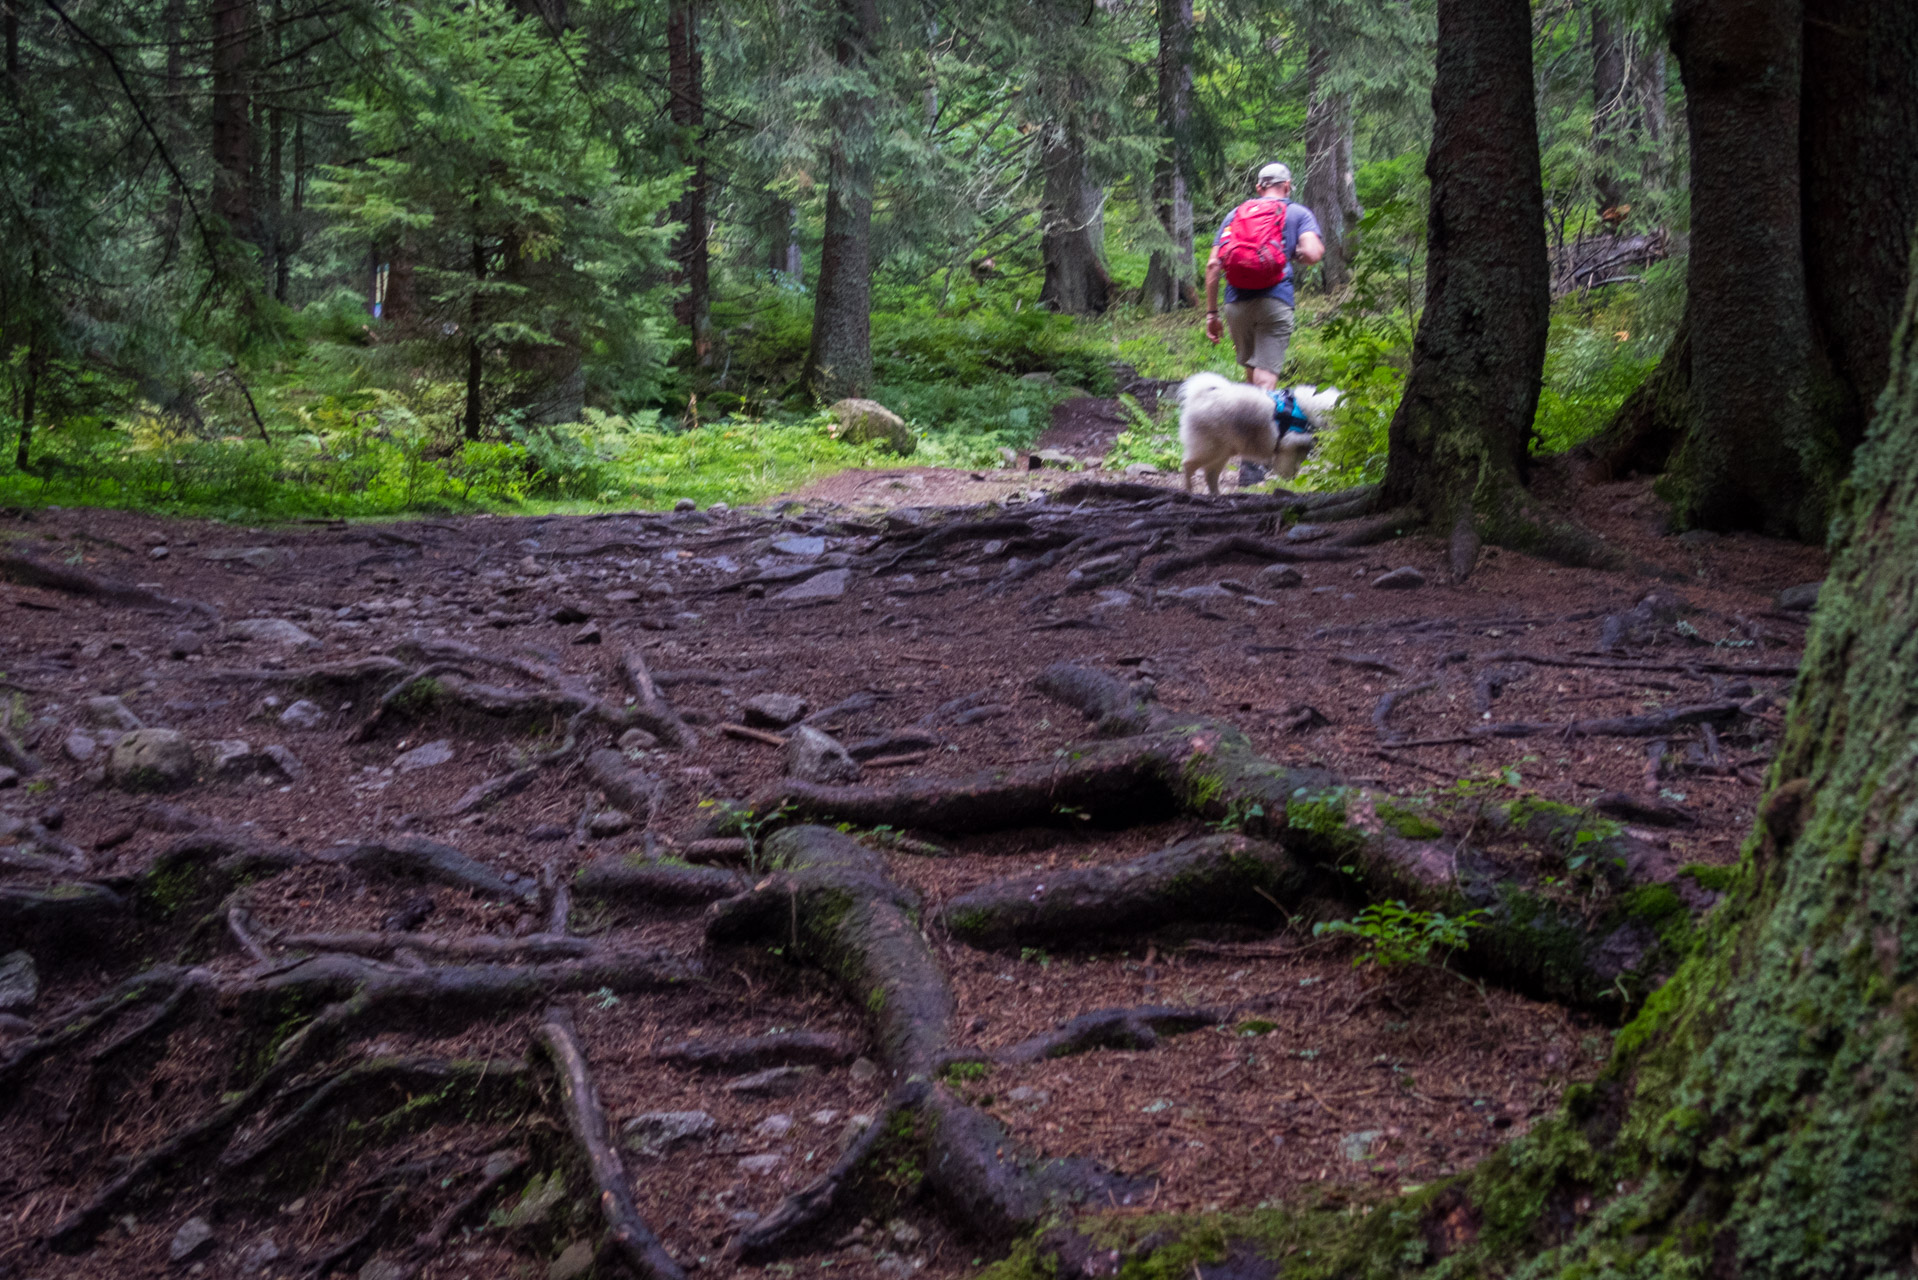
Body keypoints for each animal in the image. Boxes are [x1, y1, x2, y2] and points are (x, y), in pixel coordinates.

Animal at [1173, 370, 1342, 495]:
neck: (1313, 410)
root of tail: (1199, 397)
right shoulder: (1287, 450)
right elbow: (1287, 472)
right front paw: (1286, 485)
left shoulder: (1299, 449)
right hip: (1210, 450)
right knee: (1188, 465)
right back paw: (1189, 490)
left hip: (1222, 453)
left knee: (1210, 476)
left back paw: (1216, 495)